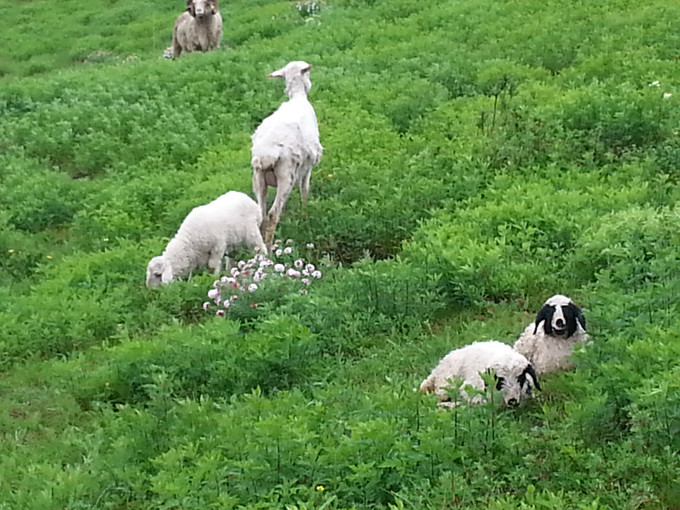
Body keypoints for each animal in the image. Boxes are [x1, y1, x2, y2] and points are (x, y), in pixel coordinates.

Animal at [252, 59, 324, 247]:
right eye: (307, 73)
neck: (298, 97)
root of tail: (267, 153)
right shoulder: (307, 167)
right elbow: (305, 188)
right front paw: (306, 212)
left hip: (258, 178)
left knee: (262, 213)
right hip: (286, 176)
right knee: (272, 214)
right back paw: (269, 247)